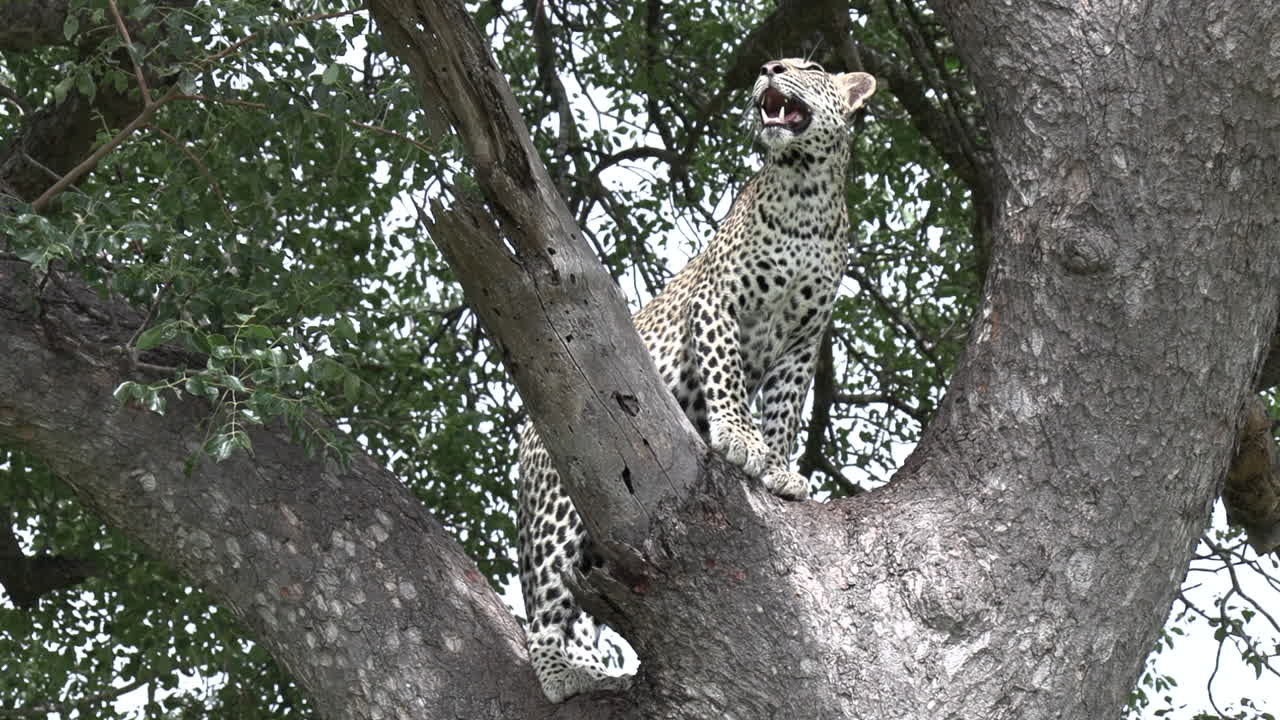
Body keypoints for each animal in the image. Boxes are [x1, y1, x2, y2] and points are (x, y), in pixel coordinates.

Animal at [516, 58, 876, 703]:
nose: (770, 68)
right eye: (782, 62)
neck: (804, 193)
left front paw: (780, 469)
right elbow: (726, 374)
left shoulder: (803, 341)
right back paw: (563, 673)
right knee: (548, 602)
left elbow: (786, 409)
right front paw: (738, 439)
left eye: (810, 67)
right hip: (559, 505)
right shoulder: (717, 304)